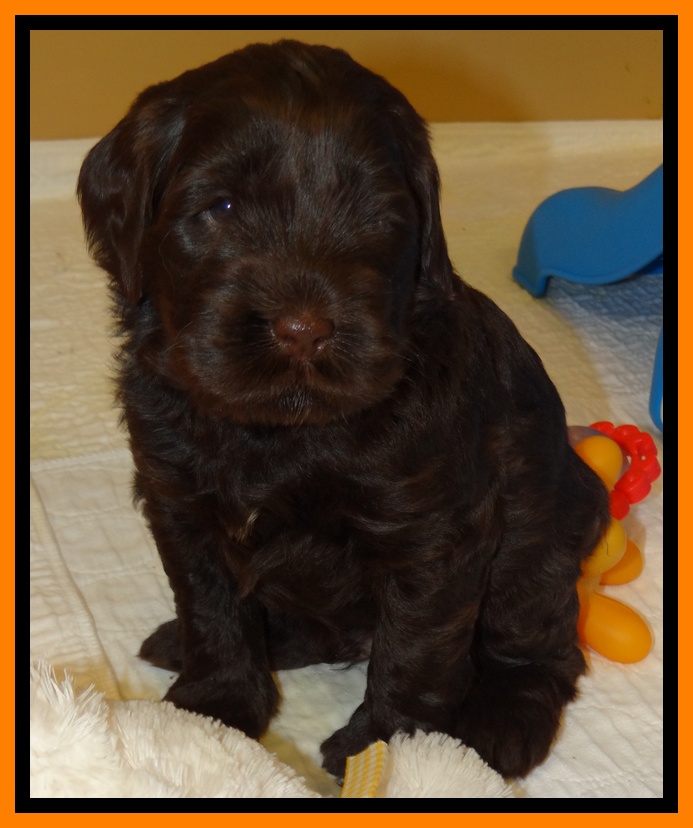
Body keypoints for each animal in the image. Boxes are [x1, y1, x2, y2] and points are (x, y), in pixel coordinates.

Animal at [77, 40, 609, 780]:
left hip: (535, 539)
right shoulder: (179, 500)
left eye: (375, 217)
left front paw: (391, 751)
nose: (304, 330)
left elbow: (415, 649)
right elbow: (212, 608)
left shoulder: (430, 531)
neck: (278, 434)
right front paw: (211, 713)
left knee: (541, 647)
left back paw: (501, 724)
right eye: (221, 206)